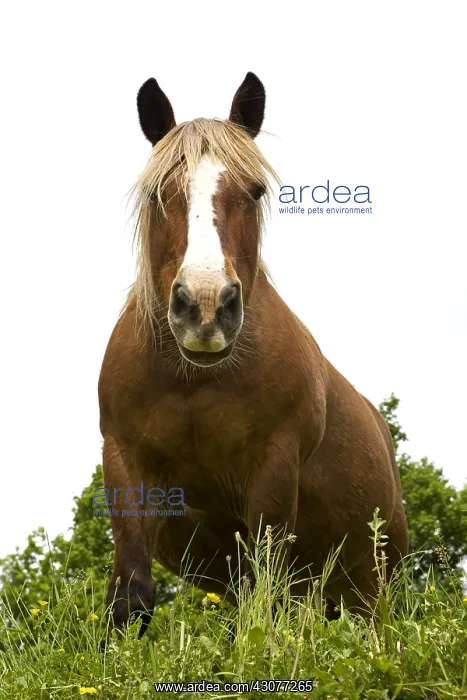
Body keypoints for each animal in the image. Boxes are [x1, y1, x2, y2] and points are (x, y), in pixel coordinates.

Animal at [98, 71, 409, 636]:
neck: (194, 381)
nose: (205, 306)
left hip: (371, 584)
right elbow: (131, 596)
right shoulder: (125, 461)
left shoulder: (273, 468)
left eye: (256, 190)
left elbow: (268, 602)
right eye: (156, 193)